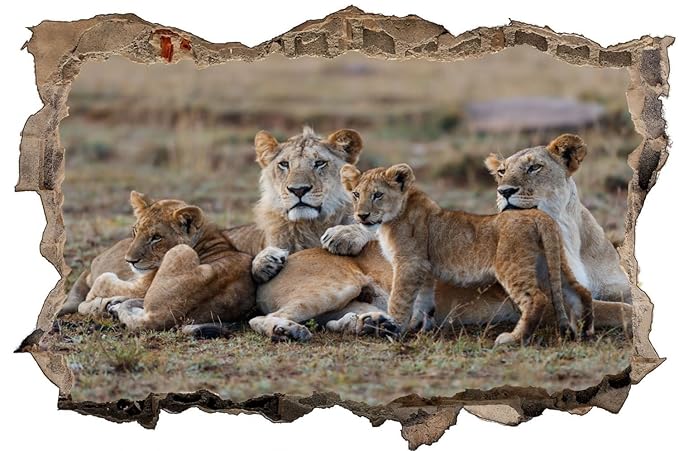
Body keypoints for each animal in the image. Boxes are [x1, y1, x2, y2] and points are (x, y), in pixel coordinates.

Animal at [75, 191, 256, 332]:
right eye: (135, 231)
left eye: (156, 237)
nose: (129, 261)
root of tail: (162, 316)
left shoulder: (142, 287)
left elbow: (103, 282)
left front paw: (93, 297)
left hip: (181, 251)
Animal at [340, 162, 594, 346]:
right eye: (356, 195)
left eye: (377, 195)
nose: (361, 216)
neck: (392, 218)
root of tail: (537, 215)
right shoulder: (424, 267)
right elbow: (423, 300)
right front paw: (417, 326)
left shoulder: (408, 263)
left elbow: (399, 299)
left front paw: (393, 327)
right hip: (551, 262)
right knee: (579, 291)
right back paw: (584, 331)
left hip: (511, 264)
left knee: (536, 299)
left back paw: (512, 339)